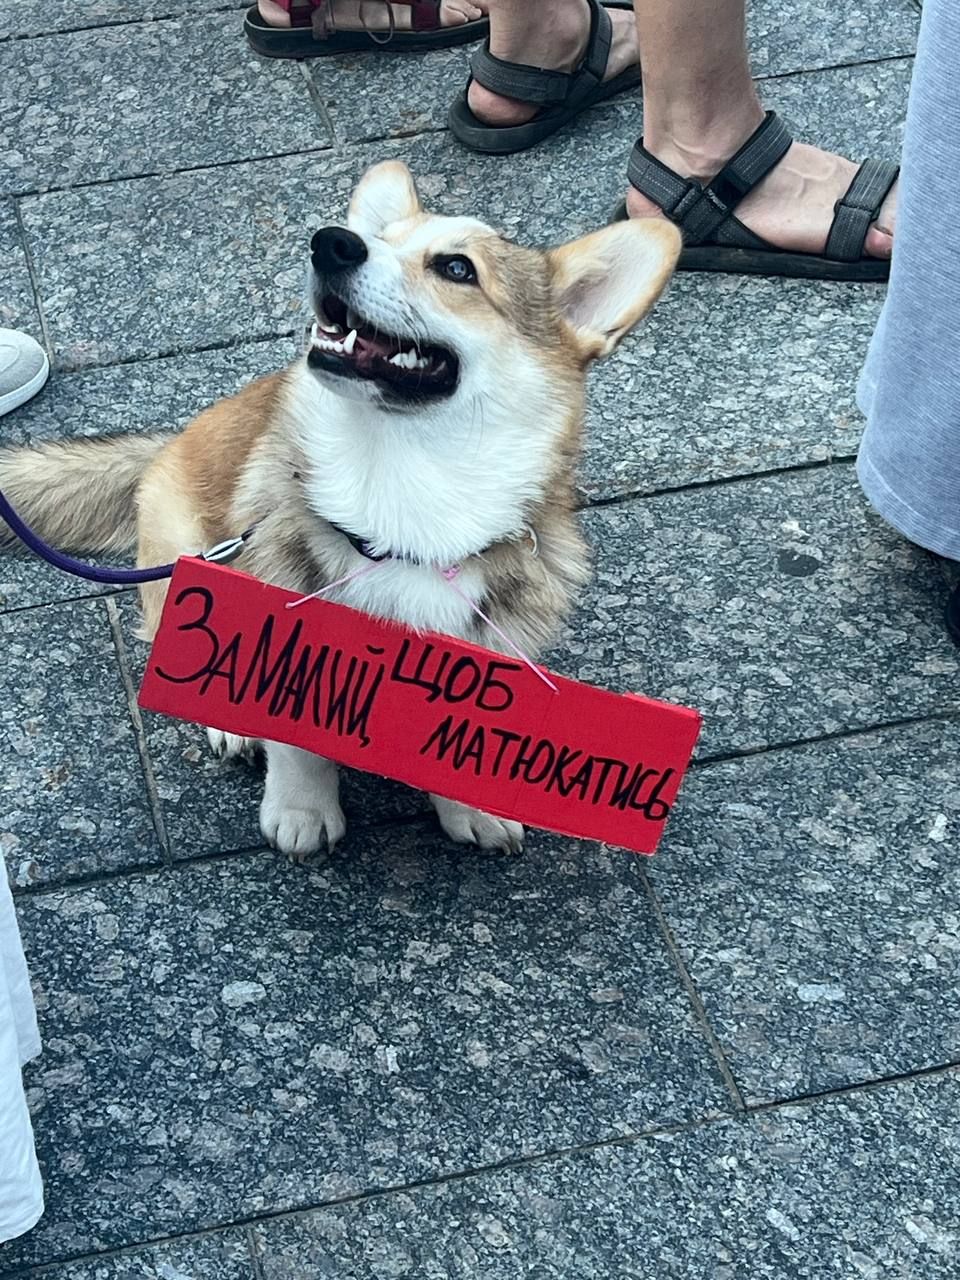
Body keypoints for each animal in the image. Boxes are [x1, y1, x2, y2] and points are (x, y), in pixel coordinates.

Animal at [0, 161, 680, 859]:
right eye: (378, 238)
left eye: (457, 268)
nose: (330, 243)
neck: (403, 487)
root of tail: (164, 444)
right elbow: (297, 747)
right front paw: (301, 810)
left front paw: (467, 805)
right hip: (184, 553)